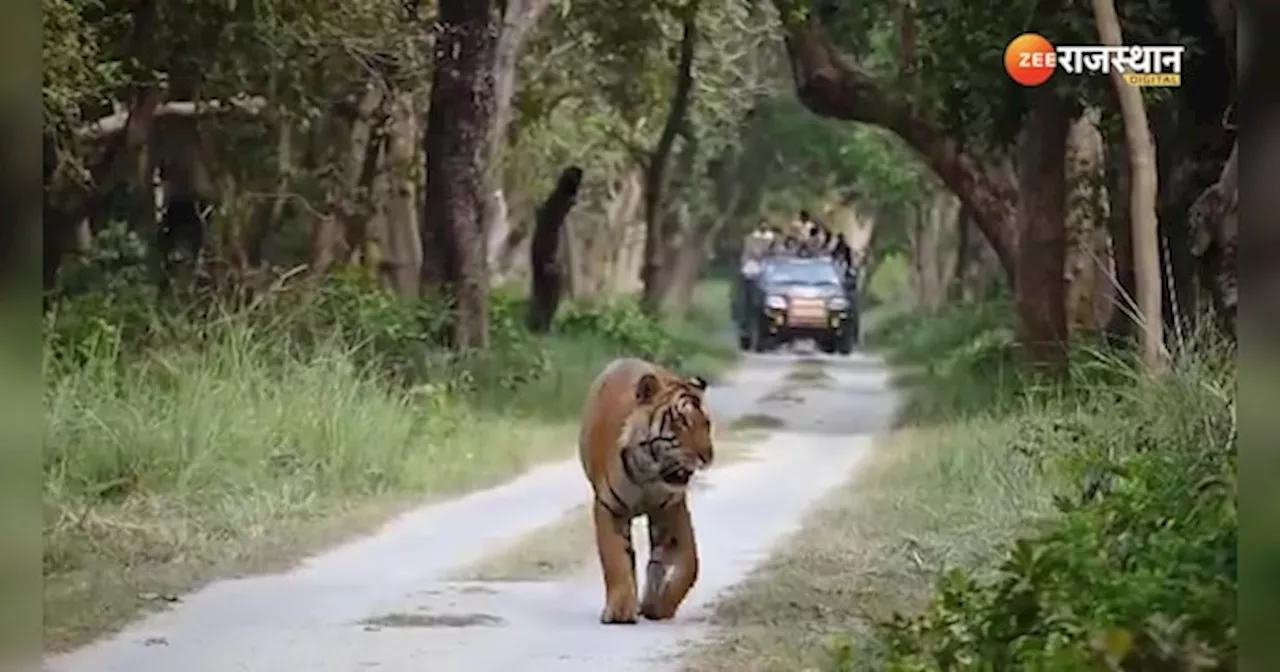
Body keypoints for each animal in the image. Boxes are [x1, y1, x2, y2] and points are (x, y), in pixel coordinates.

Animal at [578, 355, 716, 624]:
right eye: (681, 423)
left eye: (706, 424)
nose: (708, 457)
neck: (649, 475)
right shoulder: (609, 507)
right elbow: (615, 559)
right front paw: (620, 611)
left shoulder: (672, 509)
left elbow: (690, 564)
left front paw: (660, 607)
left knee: (657, 562)